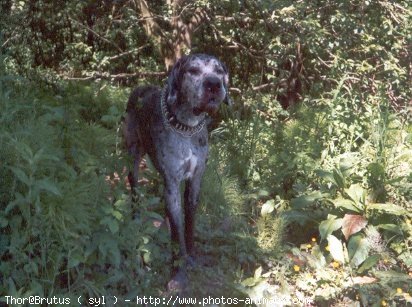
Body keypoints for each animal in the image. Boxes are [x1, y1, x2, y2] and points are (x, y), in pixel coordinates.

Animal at [124, 53, 230, 292]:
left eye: (219, 71)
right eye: (193, 70)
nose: (213, 84)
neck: (187, 127)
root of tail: (141, 87)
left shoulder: (195, 181)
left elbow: (188, 226)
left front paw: (191, 257)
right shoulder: (172, 182)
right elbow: (176, 233)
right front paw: (179, 275)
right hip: (132, 154)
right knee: (134, 187)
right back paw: (136, 219)